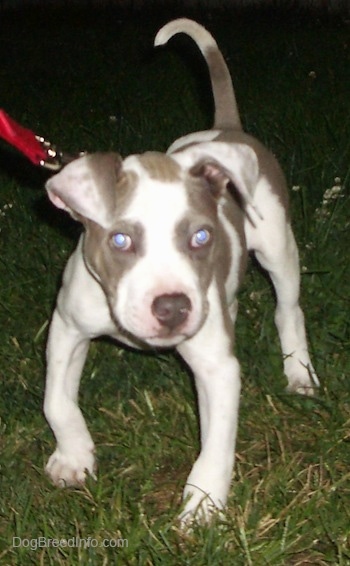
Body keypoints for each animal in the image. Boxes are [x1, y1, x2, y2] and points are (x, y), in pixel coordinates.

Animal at [43, 18, 318, 528]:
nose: (173, 308)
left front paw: (204, 503)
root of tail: (226, 127)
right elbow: (56, 401)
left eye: (201, 237)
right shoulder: (67, 327)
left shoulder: (217, 366)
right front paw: (73, 457)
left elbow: (218, 442)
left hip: (277, 245)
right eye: (120, 241)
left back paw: (299, 372)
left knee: (289, 309)